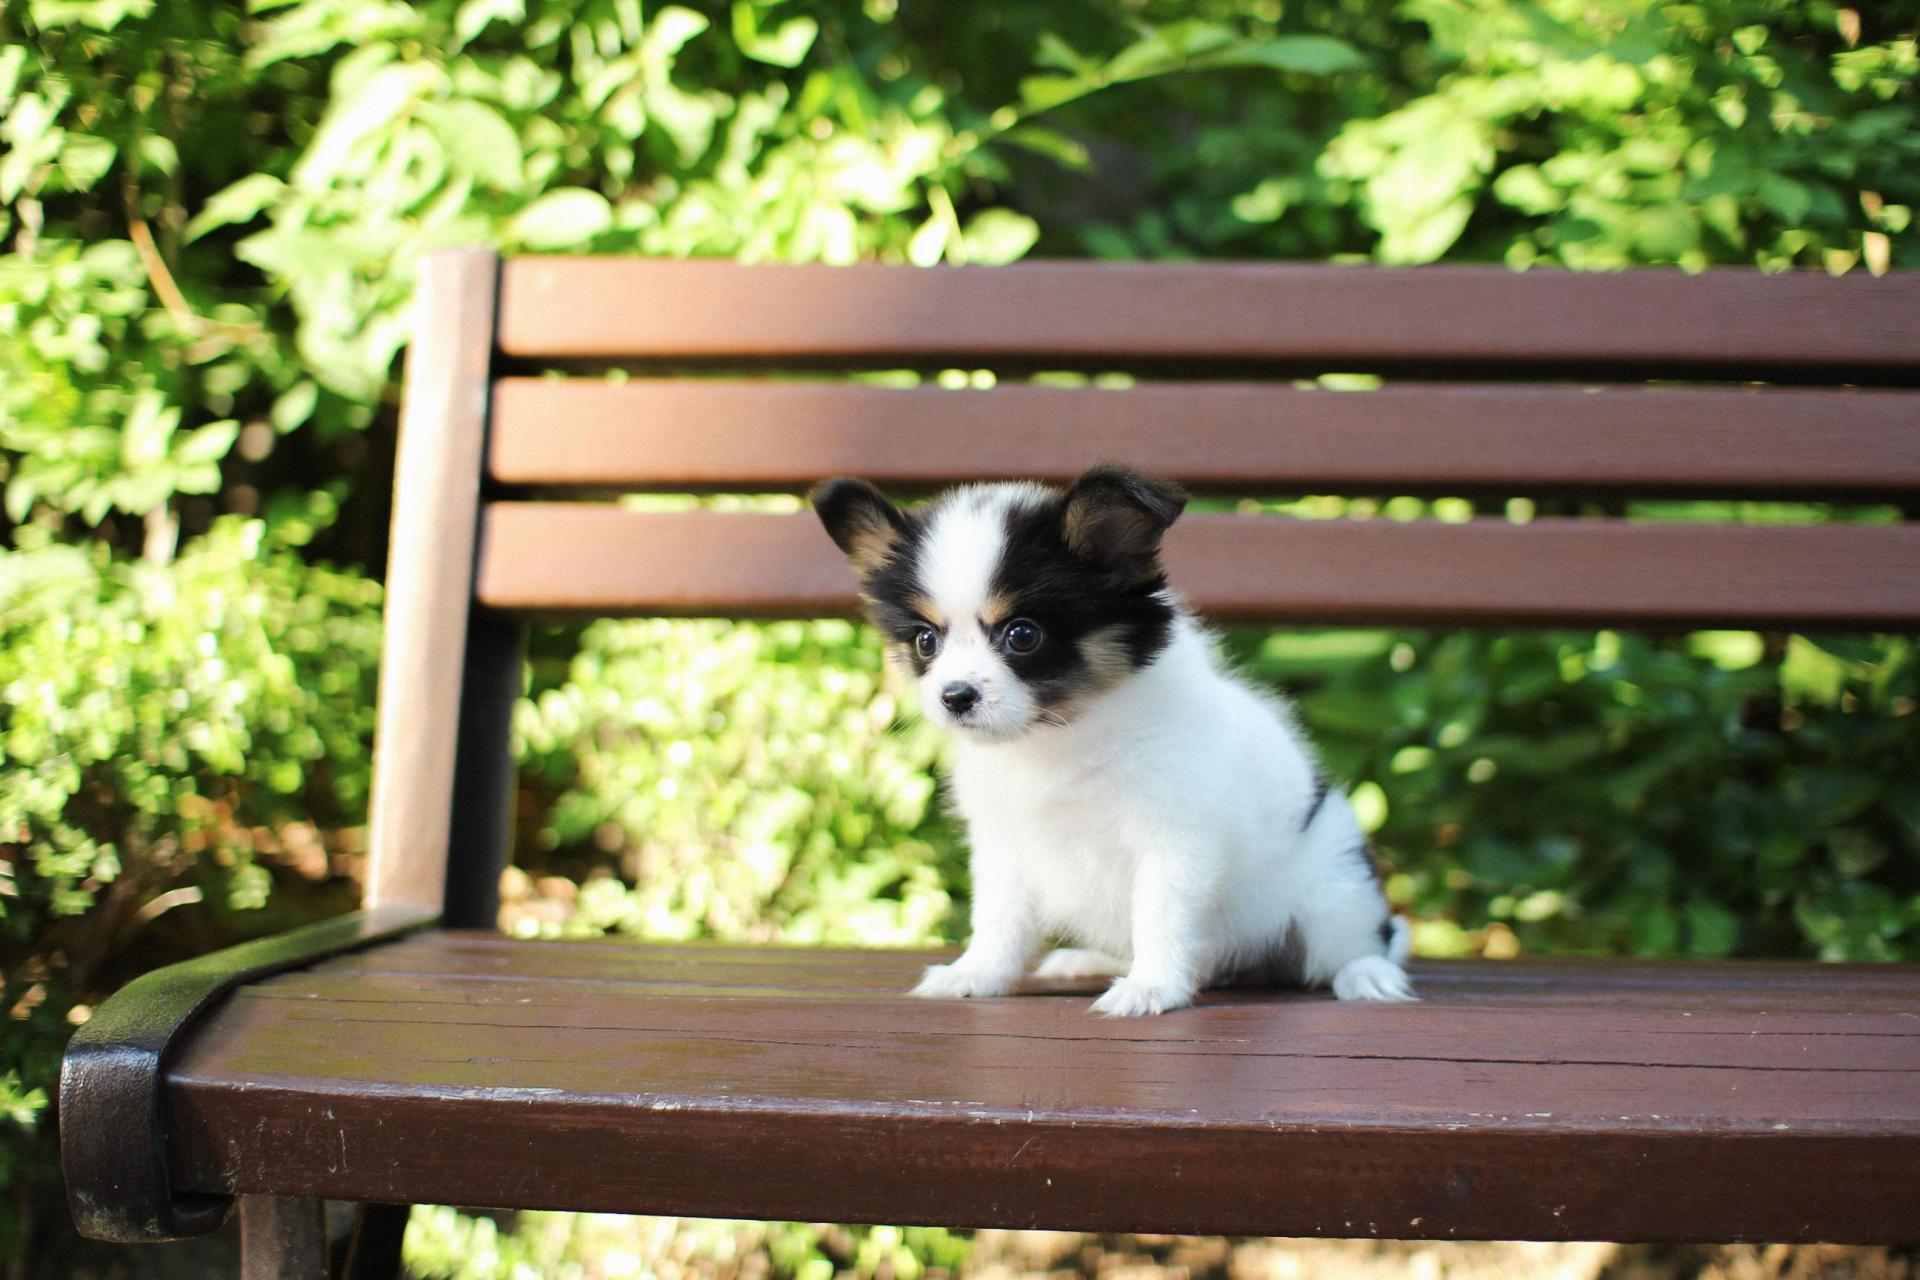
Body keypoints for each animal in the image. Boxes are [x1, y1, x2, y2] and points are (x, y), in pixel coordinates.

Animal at [811, 465, 1414, 1015]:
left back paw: (1367, 975)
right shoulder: (1004, 846)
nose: (955, 696)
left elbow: (1160, 914)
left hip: (1334, 888)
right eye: (925, 641)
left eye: (1022, 635)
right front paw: (975, 974)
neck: (1061, 732)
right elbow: (999, 919)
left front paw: (1151, 988)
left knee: (1354, 945)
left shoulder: (1173, 839)